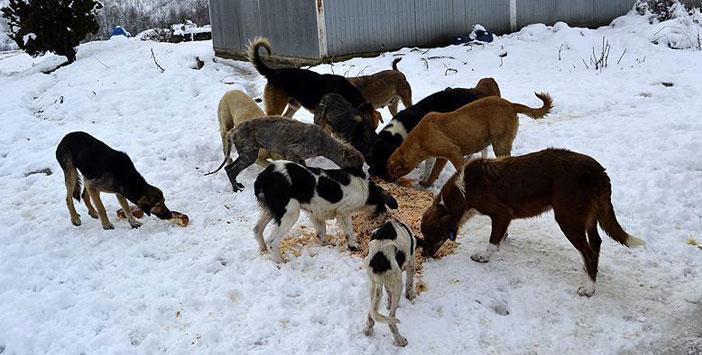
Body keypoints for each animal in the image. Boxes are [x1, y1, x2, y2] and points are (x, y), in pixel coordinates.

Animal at [206, 117, 366, 192]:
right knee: (231, 171)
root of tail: (232, 131)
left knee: (228, 168)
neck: (323, 141)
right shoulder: (292, 153)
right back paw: (236, 188)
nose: (365, 176)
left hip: (248, 153)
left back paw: (236, 186)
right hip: (249, 156)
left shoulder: (299, 158)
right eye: (357, 165)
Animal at [254, 161, 398, 264]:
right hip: (290, 213)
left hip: (270, 211)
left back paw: (263, 250)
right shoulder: (343, 212)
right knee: (273, 241)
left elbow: (322, 232)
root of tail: (264, 176)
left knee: (257, 229)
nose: (384, 218)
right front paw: (353, 245)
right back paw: (281, 261)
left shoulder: (316, 213)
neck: (365, 188)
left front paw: (326, 244)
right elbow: (349, 231)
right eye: (382, 206)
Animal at [366, 220, 420, 348]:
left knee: (371, 313)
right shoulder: (411, 261)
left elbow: (388, 292)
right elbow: (410, 283)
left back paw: (368, 329)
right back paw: (400, 340)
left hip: (374, 285)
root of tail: (378, 258)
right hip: (398, 284)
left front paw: (388, 303)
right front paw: (410, 296)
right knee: (391, 319)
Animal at [388, 92, 552, 186]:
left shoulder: (453, 152)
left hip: (499, 143)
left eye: (391, 170)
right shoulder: (442, 157)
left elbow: (458, 169)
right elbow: (434, 171)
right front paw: (426, 183)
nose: (388, 180)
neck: (419, 139)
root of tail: (511, 105)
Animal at [420, 149, 648, 296]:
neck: (463, 190)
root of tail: (598, 171)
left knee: (588, 252)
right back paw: (587, 273)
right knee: (595, 245)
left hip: (567, 218)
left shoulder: (502, 214)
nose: (423, 254)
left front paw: (483, 256)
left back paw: (589, 288)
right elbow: (500, 236)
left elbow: (492, 242)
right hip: (589, 218)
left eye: (431, 234)